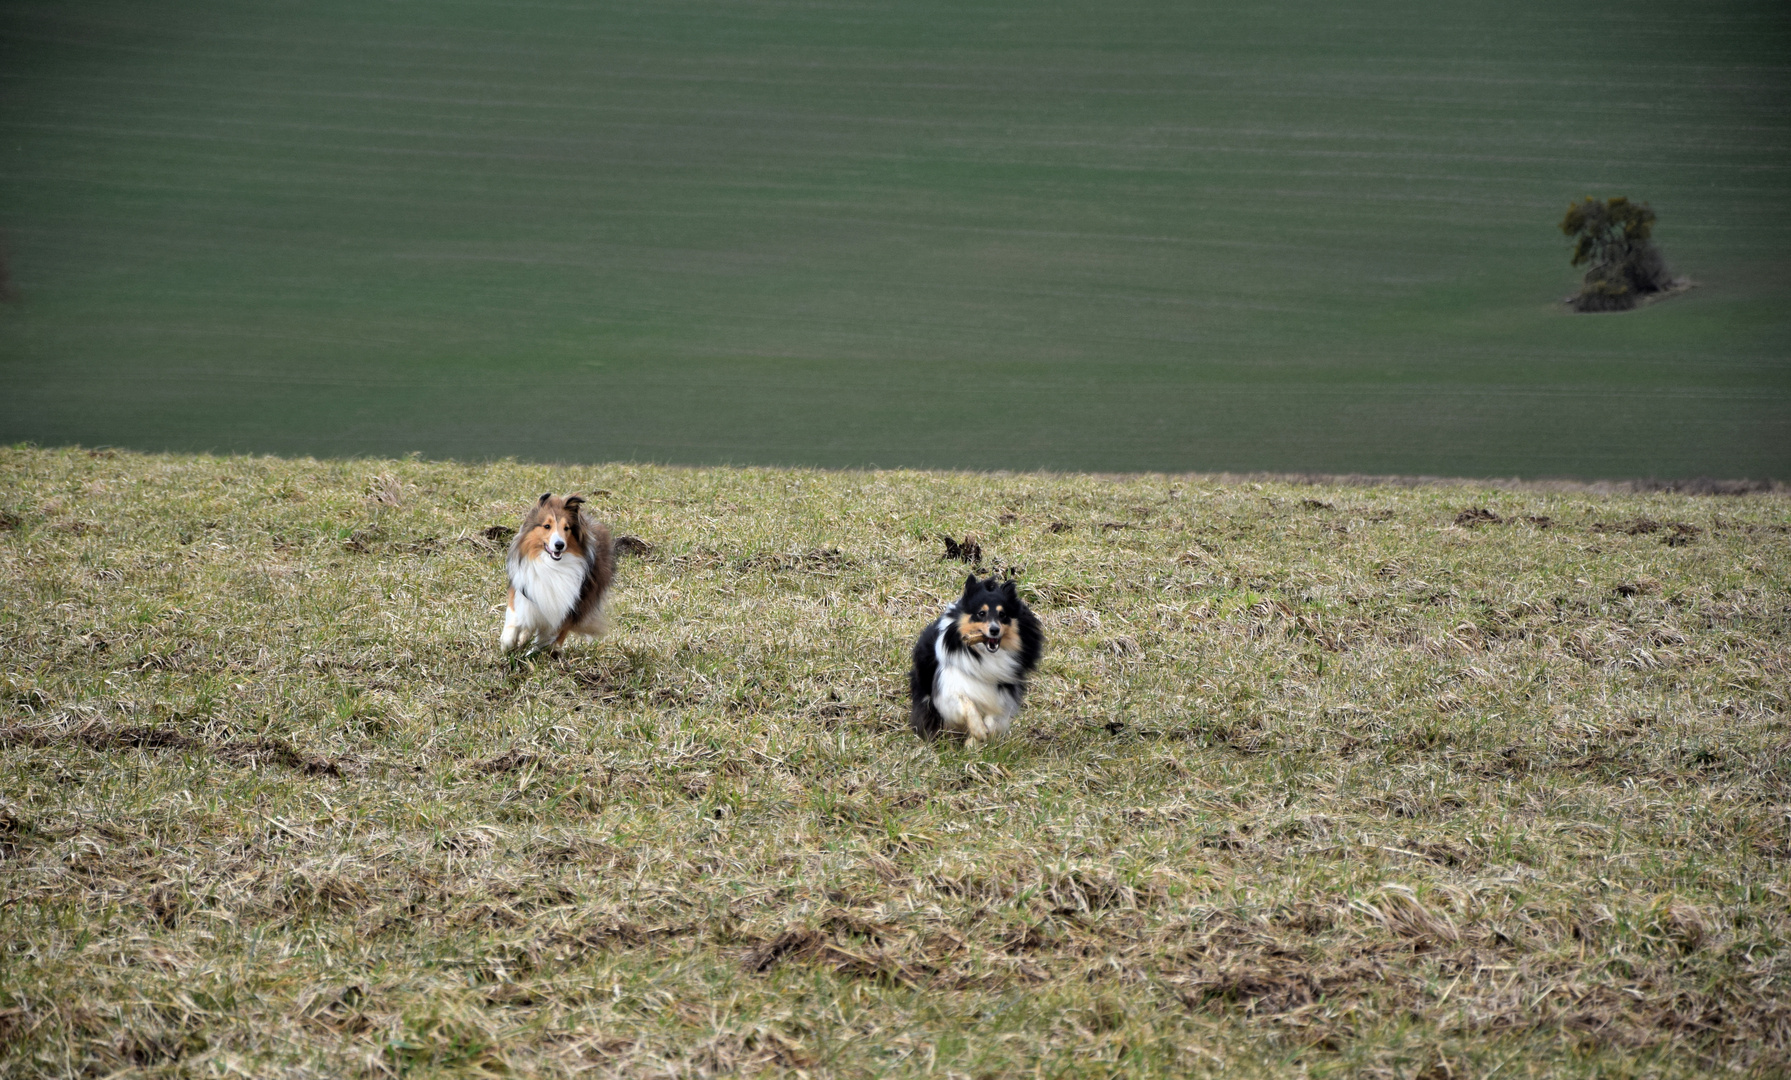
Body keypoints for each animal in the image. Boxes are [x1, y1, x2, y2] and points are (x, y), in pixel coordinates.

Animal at [501, 494, 619, 655]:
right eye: (547, 526)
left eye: (566, 528)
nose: (559, 545)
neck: (550, 565)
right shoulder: (524, 593)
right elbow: (514, 619)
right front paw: (508, 644)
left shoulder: (565, 608)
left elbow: (548, 637)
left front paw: (536, 652)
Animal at [909, 580, 1045, 748]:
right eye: (981, 613)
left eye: (1003, 615)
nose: (994, 630)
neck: (984, 655)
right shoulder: (949, 687)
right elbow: (966, 703)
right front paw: (978, 730)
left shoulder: (1003, 695)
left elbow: (993, 719)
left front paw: (974, 742)